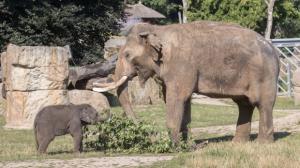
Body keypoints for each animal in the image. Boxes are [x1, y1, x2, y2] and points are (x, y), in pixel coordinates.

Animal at [93, 21, 278, 144]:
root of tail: (274, 50)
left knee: (263, 104)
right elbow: (183, 100)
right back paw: (237, 144)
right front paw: (187, 145)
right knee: (244, 104)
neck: (157, 29)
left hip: (265, 75)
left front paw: (174, 147)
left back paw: (264, 144)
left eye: (127, 55)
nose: (149, 133)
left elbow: (177, 98)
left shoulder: (181, 65)